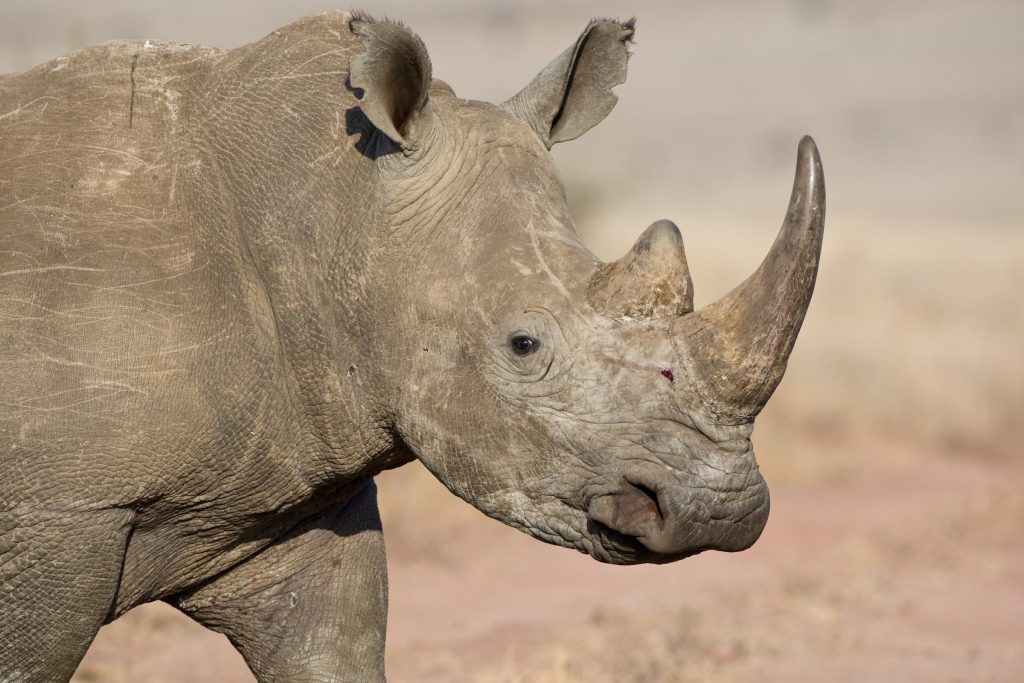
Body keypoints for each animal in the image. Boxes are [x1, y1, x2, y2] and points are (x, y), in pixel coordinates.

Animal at [0, 10, 825, 682]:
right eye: (523, 344)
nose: (719, 512)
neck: (333, 215)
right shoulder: (56, 516)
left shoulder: (293, 486)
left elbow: (334, 648)